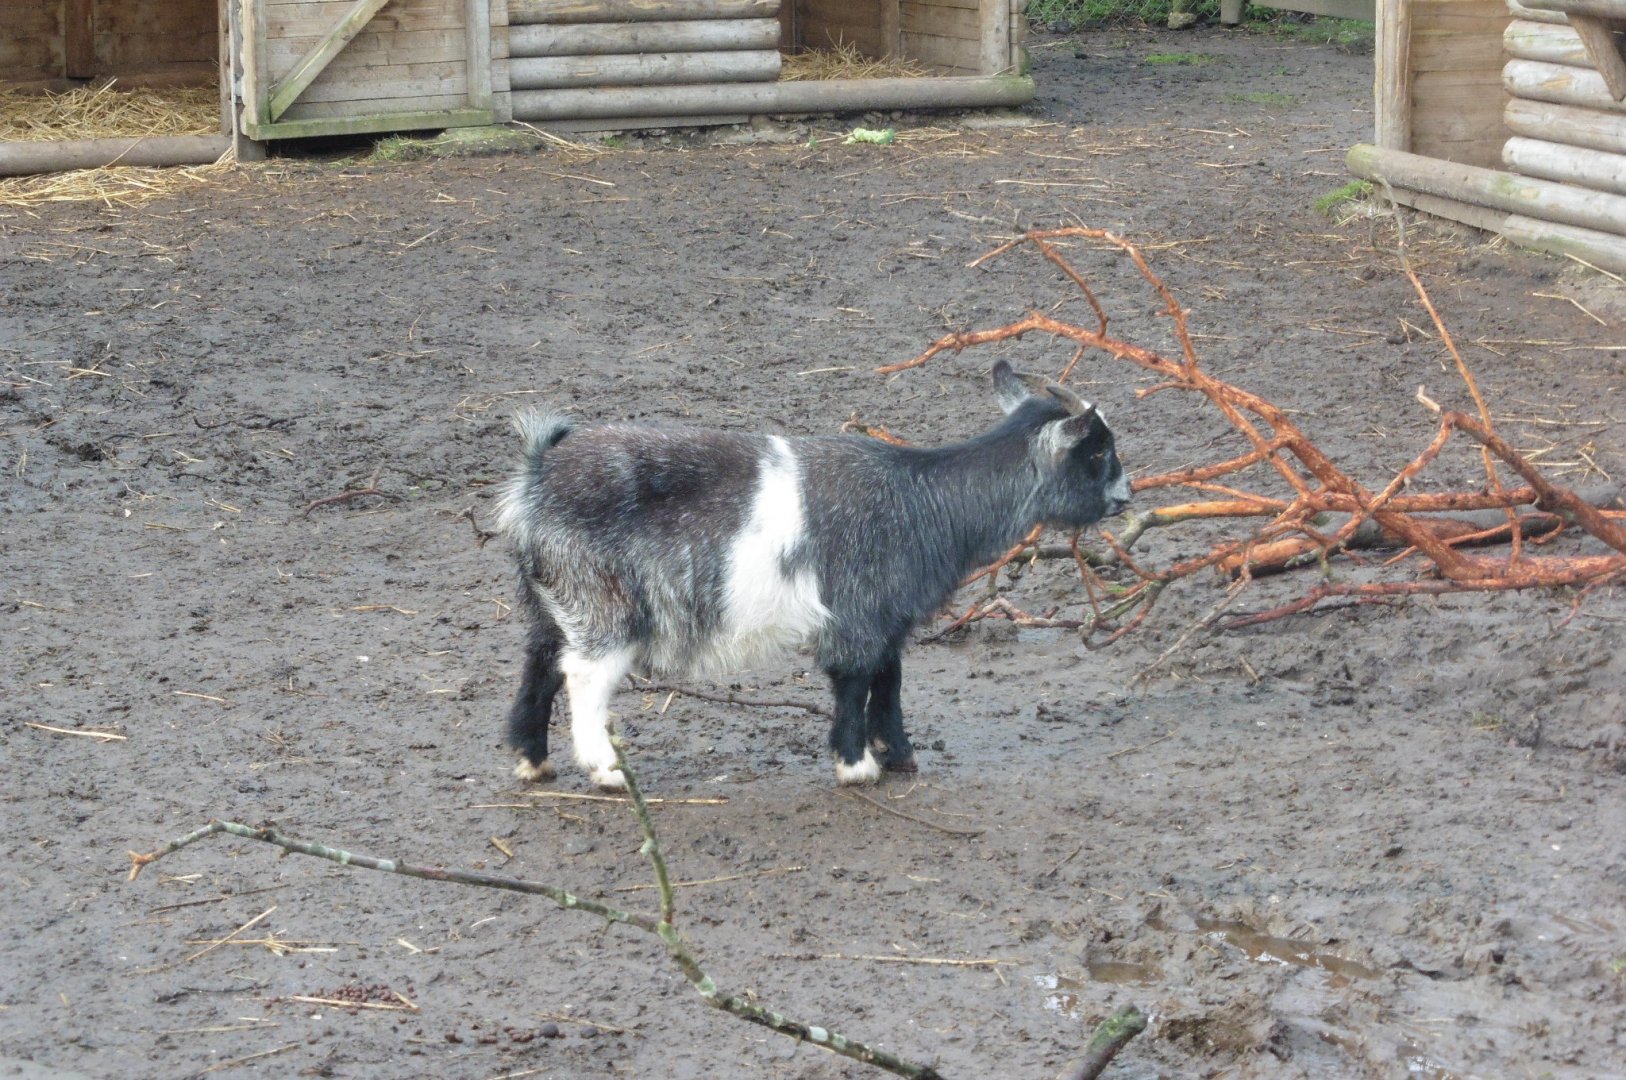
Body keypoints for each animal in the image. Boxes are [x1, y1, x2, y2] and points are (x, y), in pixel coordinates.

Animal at [495, 360, 1130, 789]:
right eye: (1097, 453)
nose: (1126, 497)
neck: (924, 499)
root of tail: (536, 477)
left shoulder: (886, 617)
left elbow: (889, 680)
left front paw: (899, 753)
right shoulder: (857, 615)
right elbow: (854, 681)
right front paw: (857, 766)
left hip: (554, 599)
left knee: (541, 661)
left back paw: (532, 761)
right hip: (604, 604)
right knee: (583, 673)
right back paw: (606, 770)